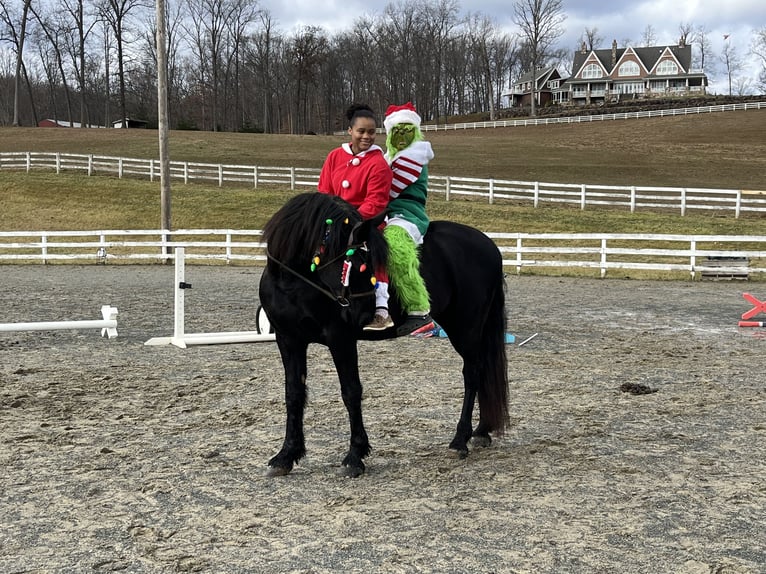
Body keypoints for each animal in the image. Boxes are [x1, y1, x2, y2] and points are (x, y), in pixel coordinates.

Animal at [260, 194, 510, 476]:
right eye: (356, 264)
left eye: (369, 264)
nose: (359, 315)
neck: (293, 283)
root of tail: (488, 244)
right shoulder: (288, 340)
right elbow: (293, 393)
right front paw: (286, 456)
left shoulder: (340, 339)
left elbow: (351, 391)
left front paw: (355, 455)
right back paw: (481, 431)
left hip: (465, 327)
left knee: (473, 373)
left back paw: (460, 439)